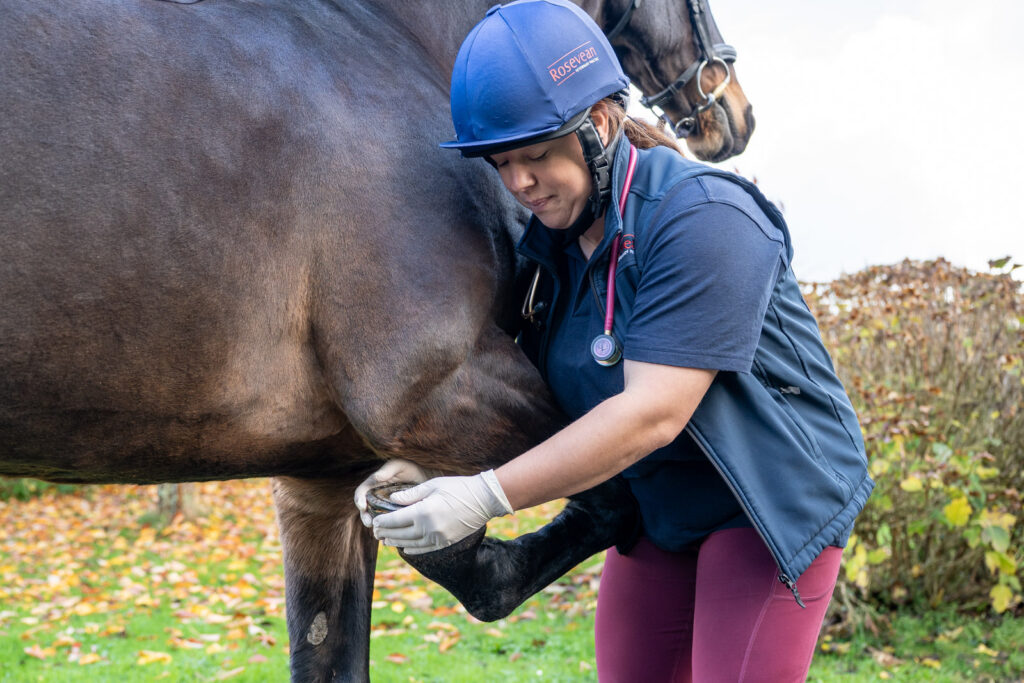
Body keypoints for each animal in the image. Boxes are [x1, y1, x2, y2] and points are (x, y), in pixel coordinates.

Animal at [0, 0, 752, 679]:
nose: (734, 114)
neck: (391, 41)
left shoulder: (321, 481)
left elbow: (329, 644)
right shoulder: (431, 394)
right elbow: (607, 495)